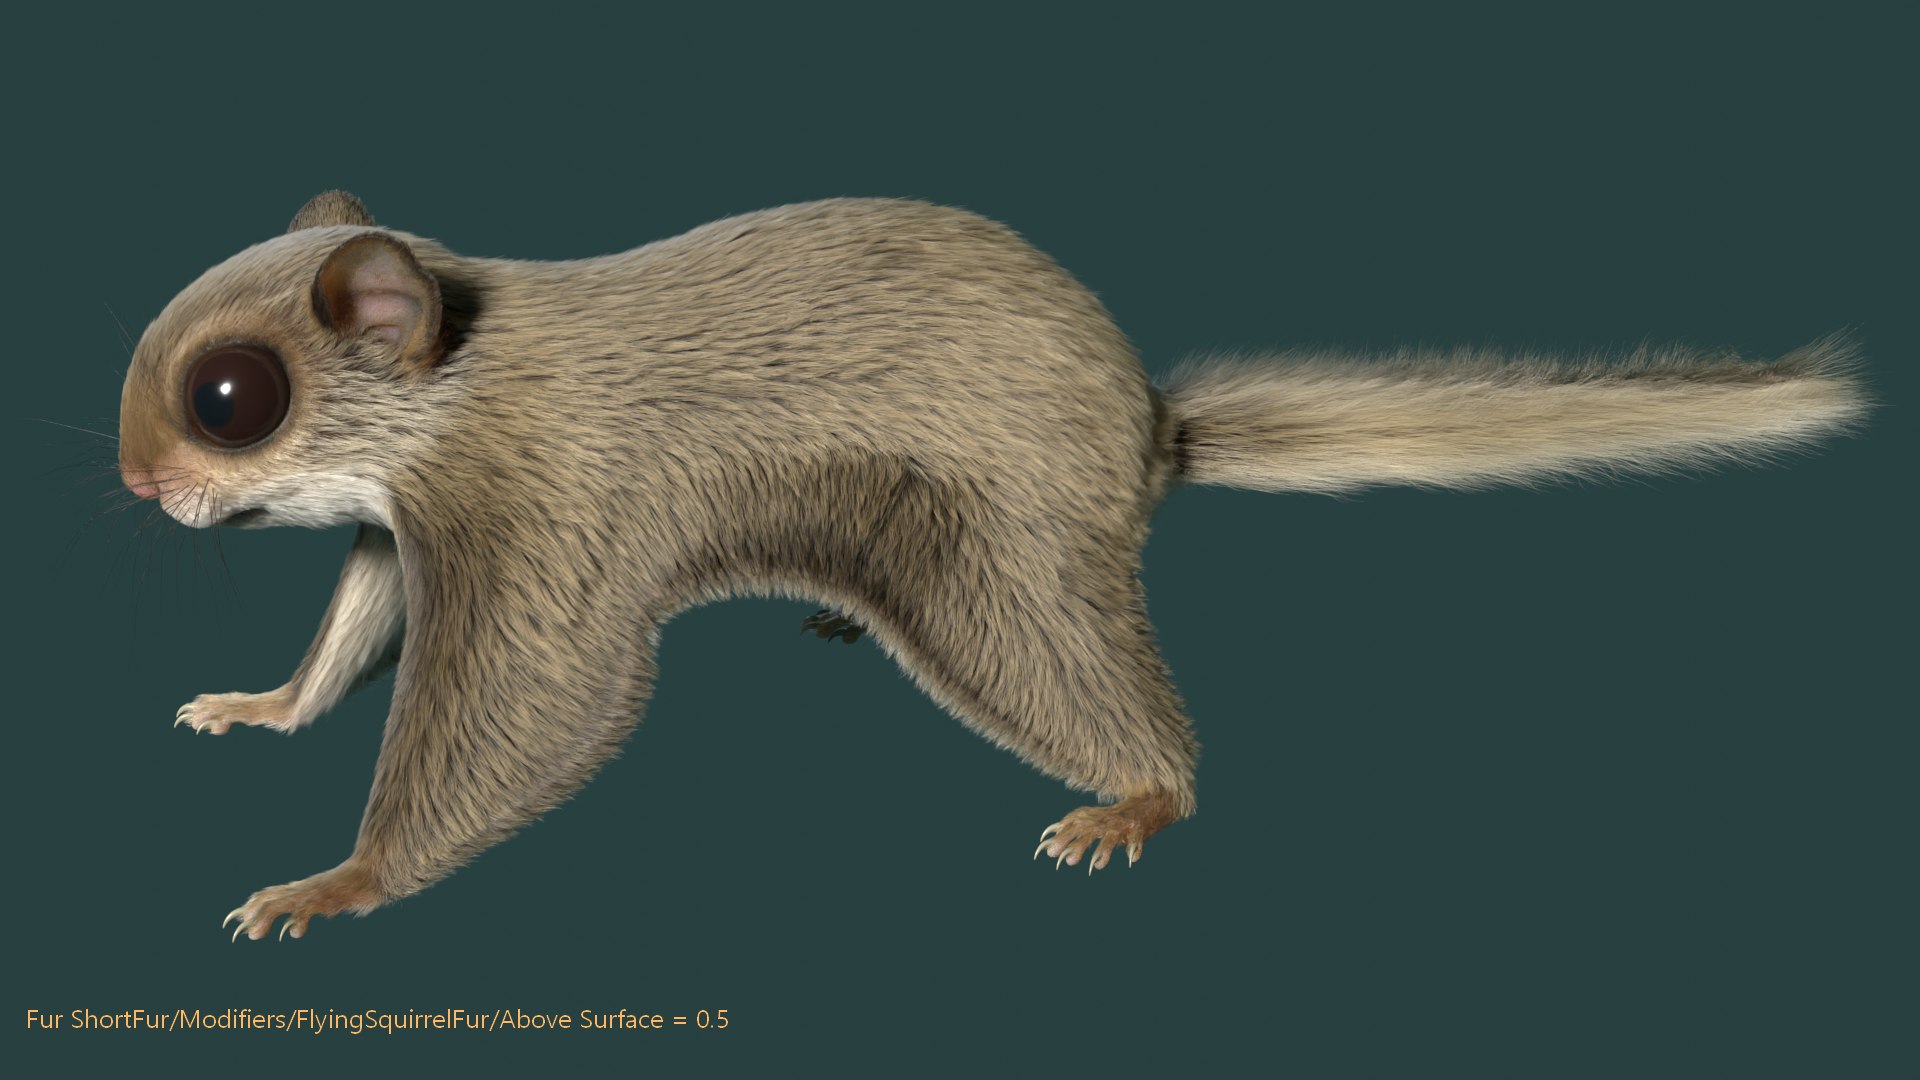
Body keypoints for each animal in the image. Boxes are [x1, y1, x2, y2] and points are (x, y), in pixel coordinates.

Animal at [117, 191, 1868, 940]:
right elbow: (349, 638)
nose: (132, 480)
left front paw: (331, 884)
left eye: (232, 396)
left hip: (992, 566)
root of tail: (1148, 431)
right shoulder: (401, 528)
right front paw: (261, 709)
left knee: (1101, 695)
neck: (465, 382)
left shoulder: (551, 518)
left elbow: (525, 706)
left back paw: (1132, 803)